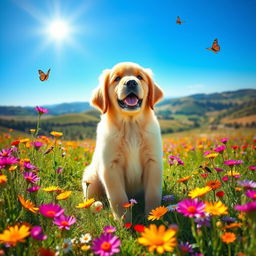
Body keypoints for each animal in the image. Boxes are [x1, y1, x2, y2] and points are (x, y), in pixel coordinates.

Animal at [82, 61, 163, 220]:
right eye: (117, 78)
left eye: (140, 77)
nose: (131, 82)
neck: (131, 125)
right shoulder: (111, 167)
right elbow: (118, 198)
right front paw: (123, 221)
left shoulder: (153, 162)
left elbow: (153, 194)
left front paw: (154, 216)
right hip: (91, 177)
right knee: (89, 200)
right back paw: (95, 206)